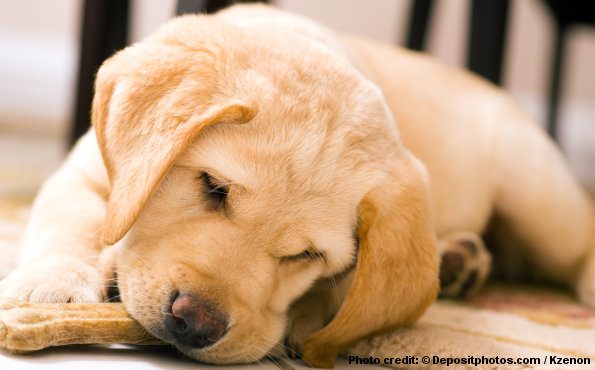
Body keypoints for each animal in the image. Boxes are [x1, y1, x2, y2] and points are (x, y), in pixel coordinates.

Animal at [1, 4, 595, 368]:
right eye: (213, 187)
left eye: (306, 255)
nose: (195, 323)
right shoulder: (86, 171)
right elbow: (73, 219)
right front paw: (53, 285)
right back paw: (456, 261)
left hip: (536, 191)